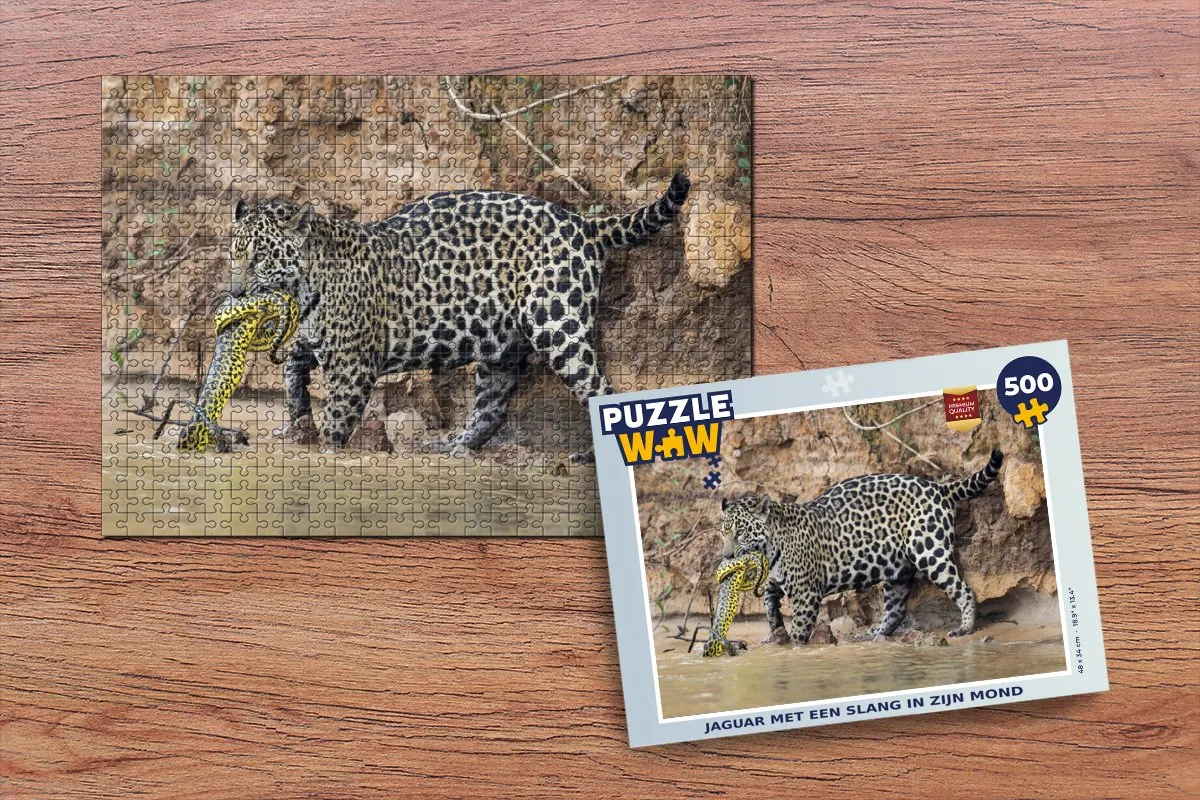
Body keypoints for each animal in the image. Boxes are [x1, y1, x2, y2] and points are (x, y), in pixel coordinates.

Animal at [226, 173, 691, 450]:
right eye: (234, 254)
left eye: (260, 257)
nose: (234, 292)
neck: (307, 282)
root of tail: (584, 224)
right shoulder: (316, 337)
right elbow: (294, 363)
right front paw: (296, 413)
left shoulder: (352, 362)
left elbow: (339, 413)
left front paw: (325, 446)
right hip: (500, 346)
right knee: (492, 408)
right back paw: (455, 446)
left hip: (557, 325)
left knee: (599, 388)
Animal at [720, 449, 1004, 645]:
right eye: (724, 532)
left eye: (741, 533)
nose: (727, 555)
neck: (771, 546)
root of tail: (939, 487)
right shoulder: (786, 580)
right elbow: (769, 594)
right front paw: (775, 625)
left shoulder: (806, 593)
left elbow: (800, 630)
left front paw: (795, 646)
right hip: (897, 569)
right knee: (896, 609)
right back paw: (875, 635)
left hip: (929, 551)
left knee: (963, 589)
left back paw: (965, 628)